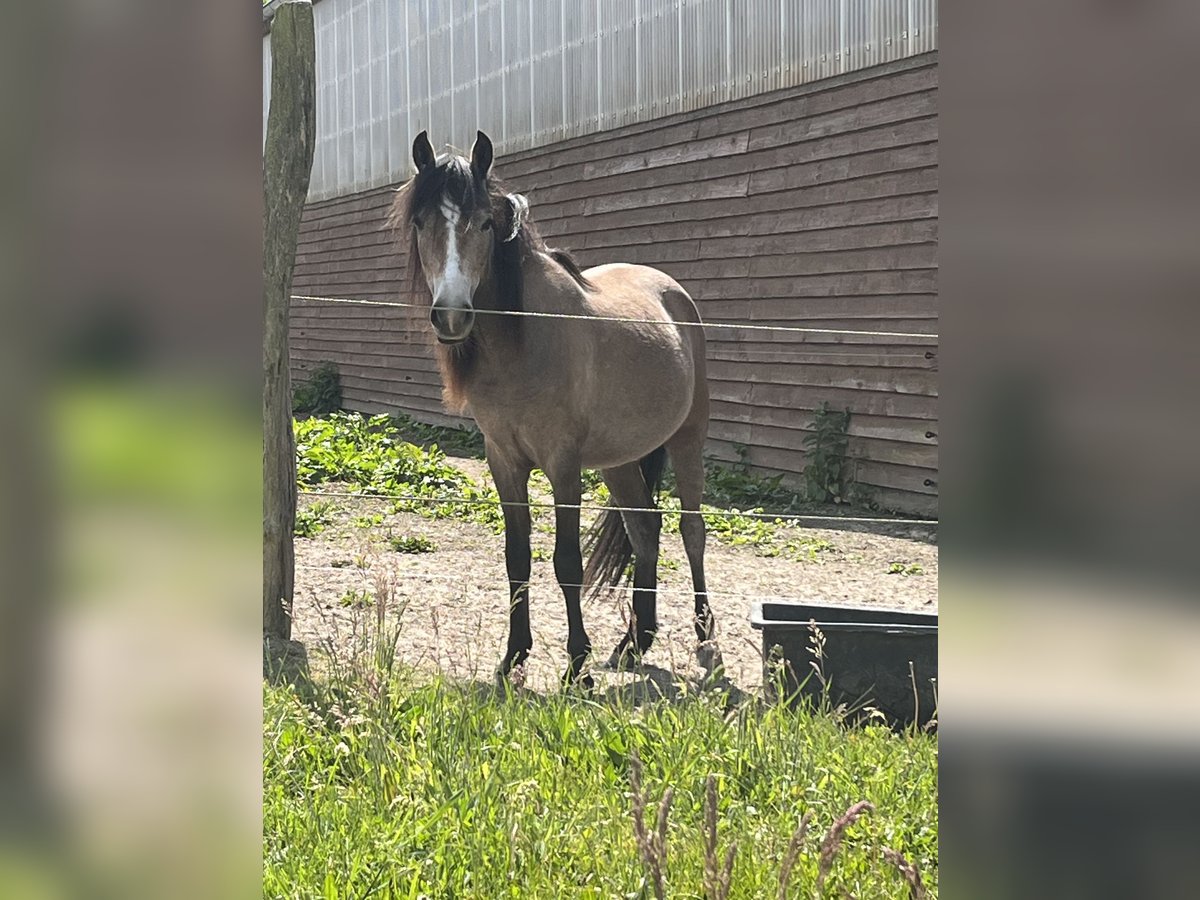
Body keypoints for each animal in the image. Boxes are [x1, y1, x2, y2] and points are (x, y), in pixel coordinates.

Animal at [388, 128, 715, 691]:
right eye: (421, 221)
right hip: (619, 461)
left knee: (690, 532)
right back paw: (634, 642)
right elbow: (517, 557)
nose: (452, 316)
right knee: (645, 530)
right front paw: (513, 657)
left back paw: (702, 635)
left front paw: (577, 665)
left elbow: (566, 561)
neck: (523, 341)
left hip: (686, 439)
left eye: (484, 222)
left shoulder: (563, 464)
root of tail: (675, 296)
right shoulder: (504, 461)